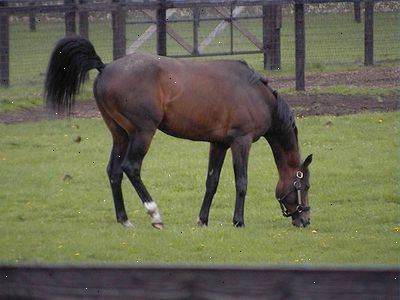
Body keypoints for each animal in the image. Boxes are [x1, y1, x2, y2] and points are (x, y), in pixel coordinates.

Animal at [43, 37, 312, 230]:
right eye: (305, 186)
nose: (305, 220)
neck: (256, 94)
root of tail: (105, 66)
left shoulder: (219, 143)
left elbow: (212, 182)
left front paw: (203, 220)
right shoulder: (241, 141)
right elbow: (242, 182)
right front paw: (238, 221)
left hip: (120, 135)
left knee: (114, 171)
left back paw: (124, 219)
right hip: (142, 133)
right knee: (131, 167)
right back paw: (154, 214)